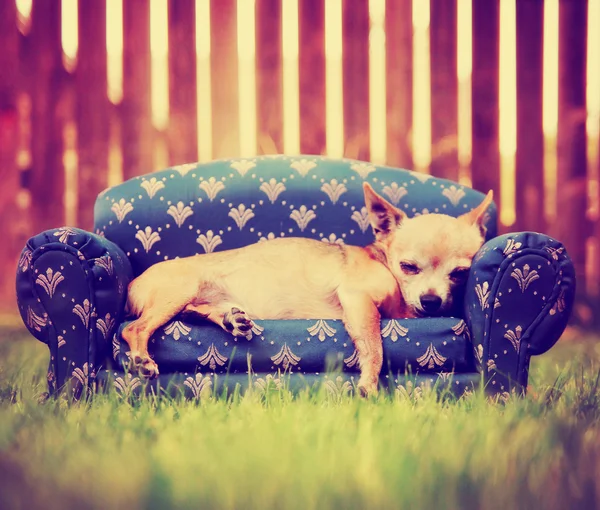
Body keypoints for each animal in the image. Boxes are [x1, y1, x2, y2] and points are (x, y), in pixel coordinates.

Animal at [122, 183, 492, 394]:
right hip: (179, 291)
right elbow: (374, 345)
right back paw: (142, 359)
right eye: (409, 267)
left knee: (195, 312)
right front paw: (369, 383)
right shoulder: (358, 300)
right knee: (134, 329)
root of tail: (132, 283)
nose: (431, 301)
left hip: (189, 299)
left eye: (460, 273)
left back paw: (230, 319)